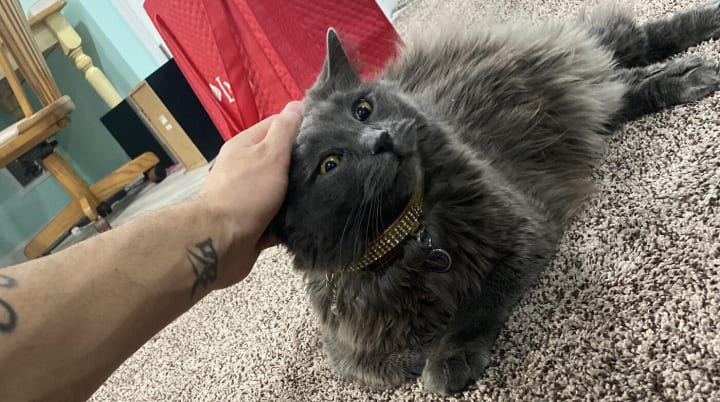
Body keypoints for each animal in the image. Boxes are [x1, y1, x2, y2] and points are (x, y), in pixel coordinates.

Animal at [270, 1, 720, 395]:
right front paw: (419, 353)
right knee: (630, 82)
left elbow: (478, 301)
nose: (380, 139)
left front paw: (446, 356)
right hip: (590, 95)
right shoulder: (344, 342)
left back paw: (702, 56)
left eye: (362, 110)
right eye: (330, 164)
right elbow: (374, 367)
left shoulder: (521, 233)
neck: (407, 235)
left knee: (639, 42)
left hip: (577, 61)